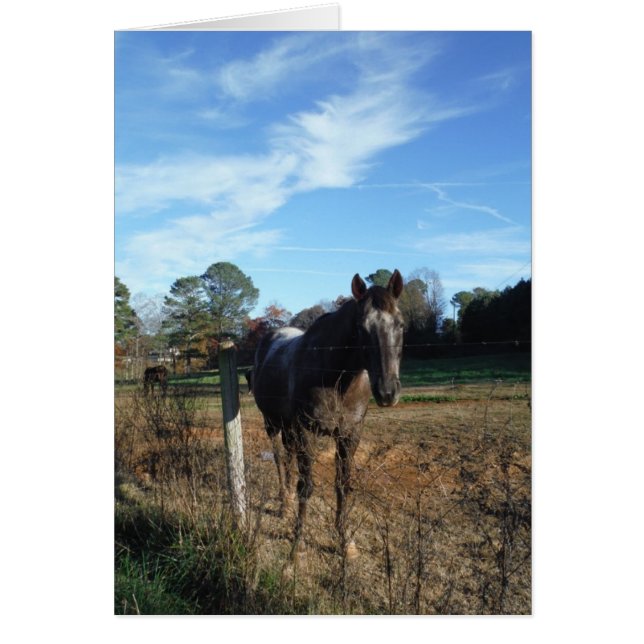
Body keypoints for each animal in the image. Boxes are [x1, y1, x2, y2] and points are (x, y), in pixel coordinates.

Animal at [252, 270, 404, 556]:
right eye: (361, 327)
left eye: (400, 325)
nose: (387, 392)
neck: (337, 378)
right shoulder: (305, 431)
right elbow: (307, 485)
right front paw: (297, 544)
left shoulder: (349, 434)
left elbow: (342, 485)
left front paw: (345, 541)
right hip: (273, 424)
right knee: (279, 460)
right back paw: (284, 504)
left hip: (288, 429)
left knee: (287, 458)